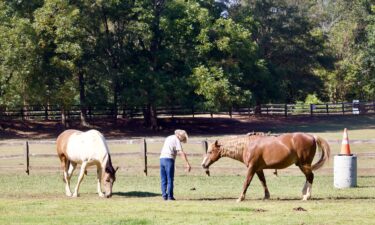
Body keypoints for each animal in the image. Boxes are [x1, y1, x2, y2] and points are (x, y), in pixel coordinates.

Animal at [203, 133, 332, 201]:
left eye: (210, 152)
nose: (203, 164)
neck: (247, 146)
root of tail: (312, 136)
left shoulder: (252, 168)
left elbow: (247, 182)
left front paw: (240, 198)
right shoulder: (258, 169)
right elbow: (263, 181)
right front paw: (266, 196)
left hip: (304, 164)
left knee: (310, 177)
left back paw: (307, 196)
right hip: (302, 165)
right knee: (308, 177)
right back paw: (304, 193)